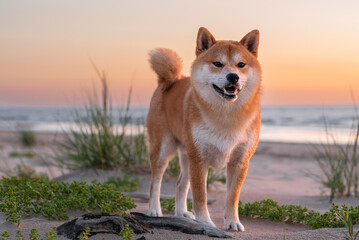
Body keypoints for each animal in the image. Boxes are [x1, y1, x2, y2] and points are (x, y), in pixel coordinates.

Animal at [146, 27, 262, 232]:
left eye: (241, 64)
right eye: (217, 63)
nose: (233, 76)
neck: (226, 114)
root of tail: (168, 81)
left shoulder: (239, 161)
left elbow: (232, 197)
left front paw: (233, 222)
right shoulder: (199, 160)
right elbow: (201, 196)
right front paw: (205, 222)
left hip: (187, 155)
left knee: (180, 184)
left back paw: (181, 214)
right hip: (163, 150)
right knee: (155, 181)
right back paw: (154, 210)